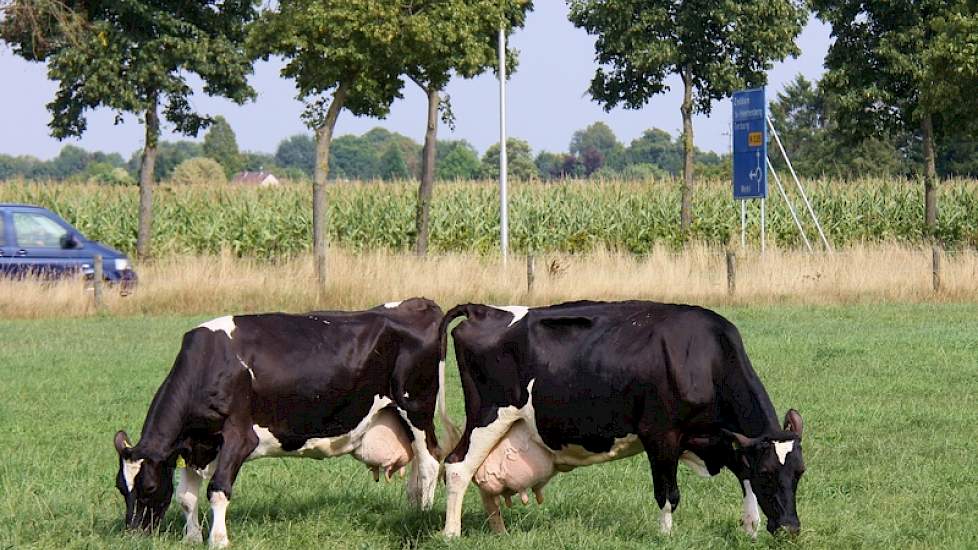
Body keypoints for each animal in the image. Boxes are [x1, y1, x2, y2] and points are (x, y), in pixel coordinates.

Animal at [112, 300, 456, 548]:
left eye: (148, 487)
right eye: (120, 487)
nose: (132, 534)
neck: (210, 363)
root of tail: (419, 303)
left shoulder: (239, 437)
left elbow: (218, 489)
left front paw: (218, 540)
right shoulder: (195, 443)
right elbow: (186, 496)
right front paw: (192, 537)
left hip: (416, 408)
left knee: (429, 462)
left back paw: (422, 515)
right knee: (418, 465)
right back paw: (411, 508)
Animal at [438, 302, 804, 540]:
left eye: (799, 473)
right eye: (768, 473)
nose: (790, 528)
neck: (703, 357)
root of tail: (483, 309)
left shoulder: (717, 437)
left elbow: (742, 471)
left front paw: (751, 527)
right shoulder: (661, 435)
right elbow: (668, 493)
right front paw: (666, 536)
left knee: (481, 477)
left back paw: (500, 532)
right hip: (487, 415)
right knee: (457, 467)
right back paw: (452, 533)